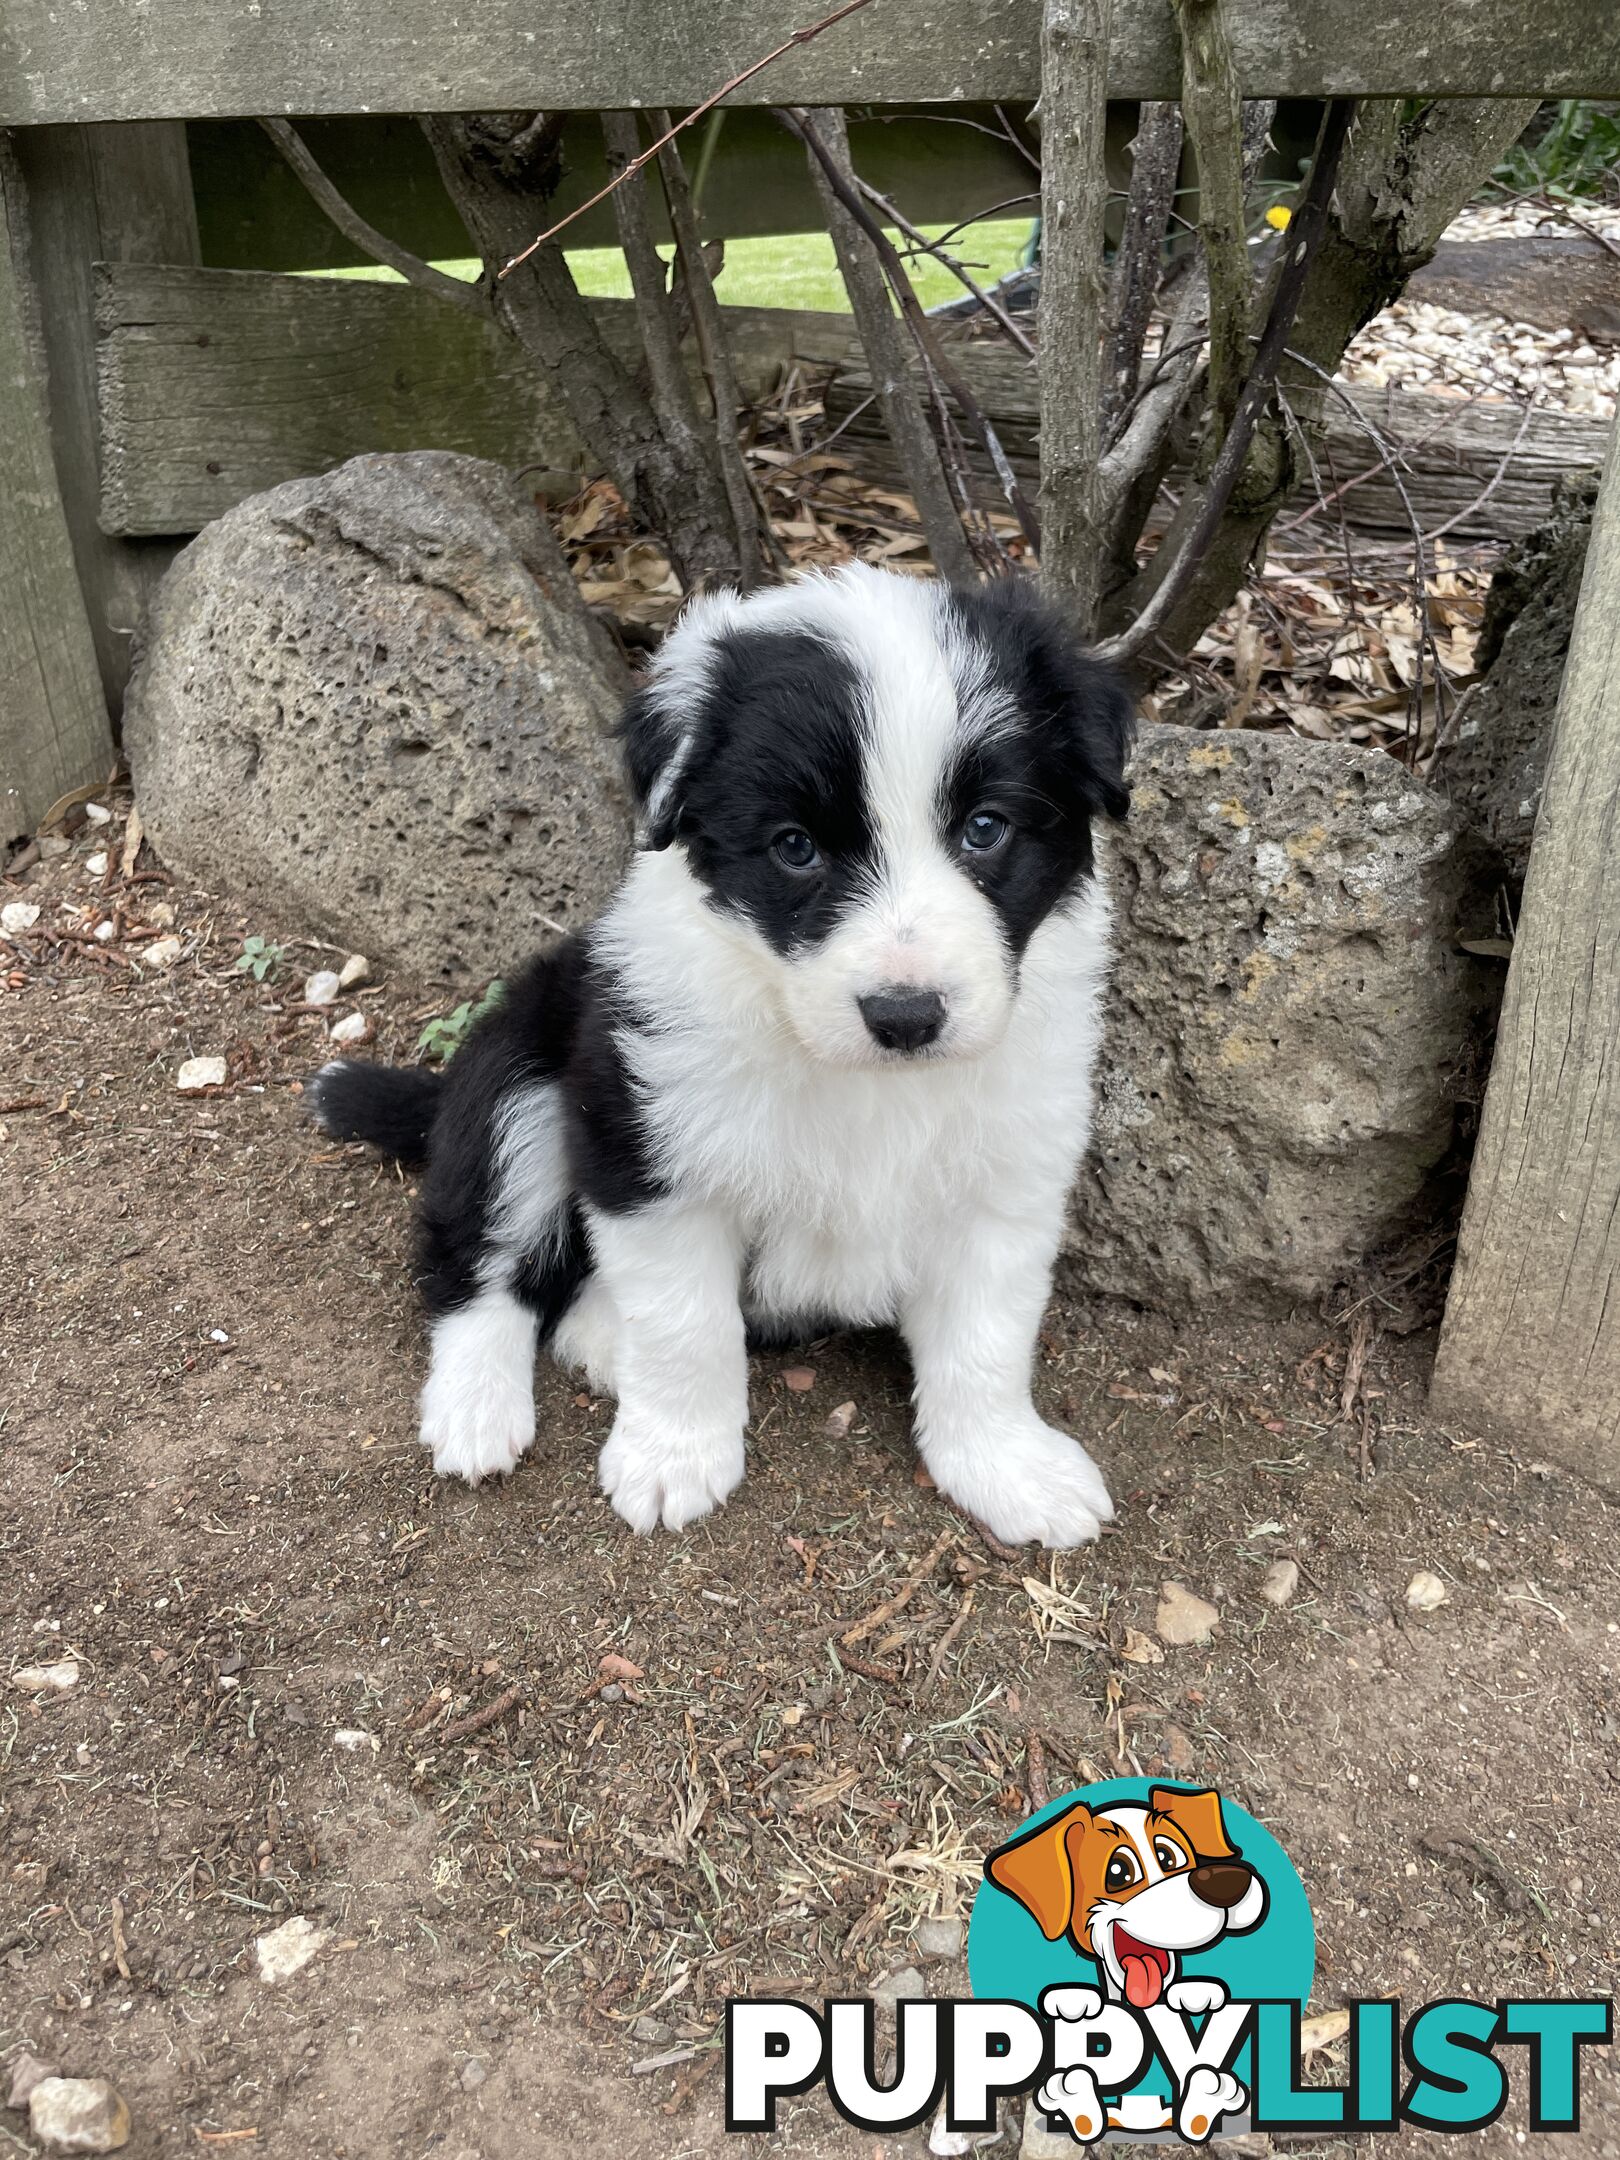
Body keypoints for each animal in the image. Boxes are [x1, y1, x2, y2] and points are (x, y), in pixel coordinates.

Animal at [311, 565, 1131, 1555]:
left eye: (985, 829)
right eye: (794, 847)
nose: (906, 1016)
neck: (858, 1081)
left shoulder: (1008, 1176)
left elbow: (986, 1339)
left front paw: (1006, 1465)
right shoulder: (647, 1150)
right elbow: (684, 1324)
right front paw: (673, 1457)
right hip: (520, 1082)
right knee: (477, 1263)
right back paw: (478, 1408)